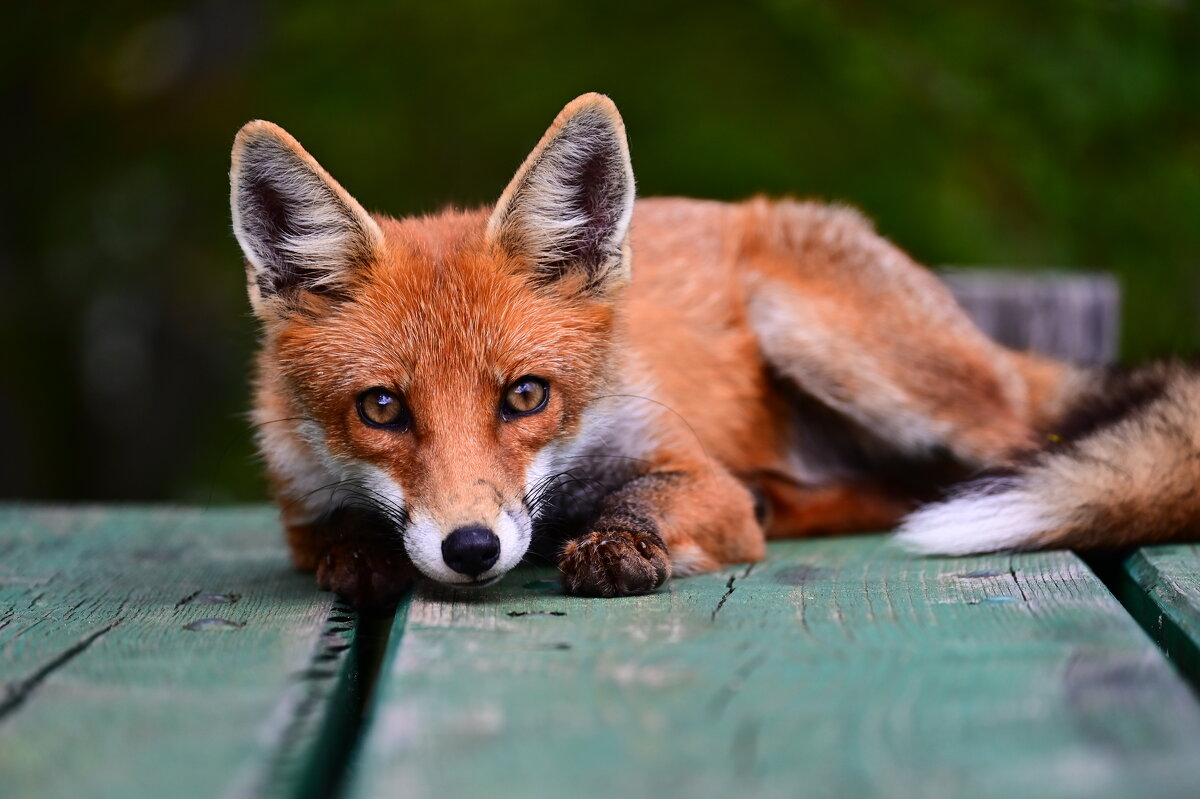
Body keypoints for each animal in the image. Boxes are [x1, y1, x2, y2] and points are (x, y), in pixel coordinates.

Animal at [226, 93, 1200, 607]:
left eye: (526, 396)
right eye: (381, 408)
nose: (472, 549)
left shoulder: (692, 472)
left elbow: (651, 501)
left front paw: (616, 541)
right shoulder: (296, 499)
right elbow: (336, 528)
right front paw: (366, 551)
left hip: (841, 346)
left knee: (1008, 459)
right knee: (896, 487)